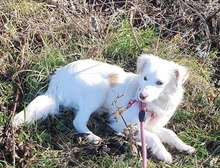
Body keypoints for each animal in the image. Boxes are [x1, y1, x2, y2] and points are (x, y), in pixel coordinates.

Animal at [13, 54, 195, 163]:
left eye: (159, 83)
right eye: (144, 78)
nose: (141, 96)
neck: (154, 103)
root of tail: (57, 80)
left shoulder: (151, 125)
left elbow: (170, 134)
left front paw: (184, 147)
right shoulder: (125, 124)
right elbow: (154, 138)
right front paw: (164, 154)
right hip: (97, 89)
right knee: (78, 121)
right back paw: (93, 137)